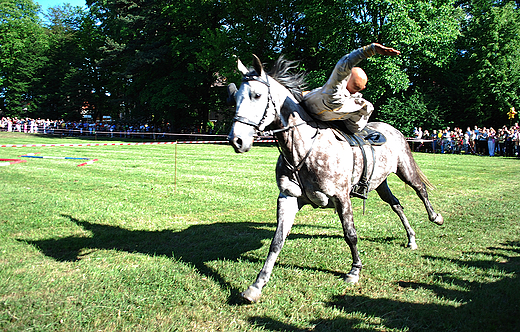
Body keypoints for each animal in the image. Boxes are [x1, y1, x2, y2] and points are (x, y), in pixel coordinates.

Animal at [228, 54, 442, 304]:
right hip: (381, 184)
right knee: (397, 205)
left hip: (404, 169)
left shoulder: (342, 198)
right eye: (236, 97)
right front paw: (257, 285)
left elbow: (351, 235)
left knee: (420, 190)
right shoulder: (288, 198)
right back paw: (411, 238)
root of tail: (393, 130)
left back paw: (436, 217)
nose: (236, 140)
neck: (304, 149)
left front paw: (354, 270)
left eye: (257, 95)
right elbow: (277, 241)